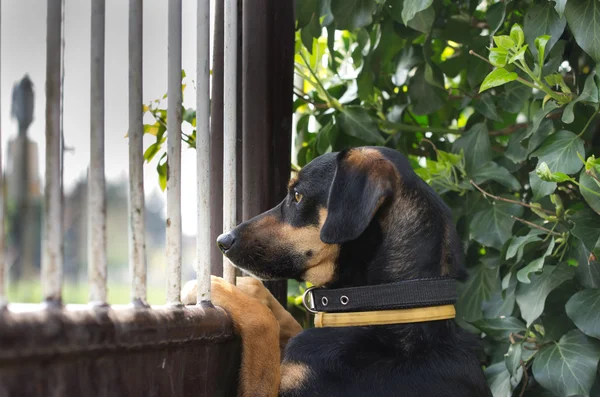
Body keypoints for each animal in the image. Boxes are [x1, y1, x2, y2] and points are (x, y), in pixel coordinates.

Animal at [183, 146, 492, 396]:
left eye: (297, 196)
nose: (222, 241)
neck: (389, 302)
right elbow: (284, 320)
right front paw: (248, 288)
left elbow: (264, 325)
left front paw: (216, 287)